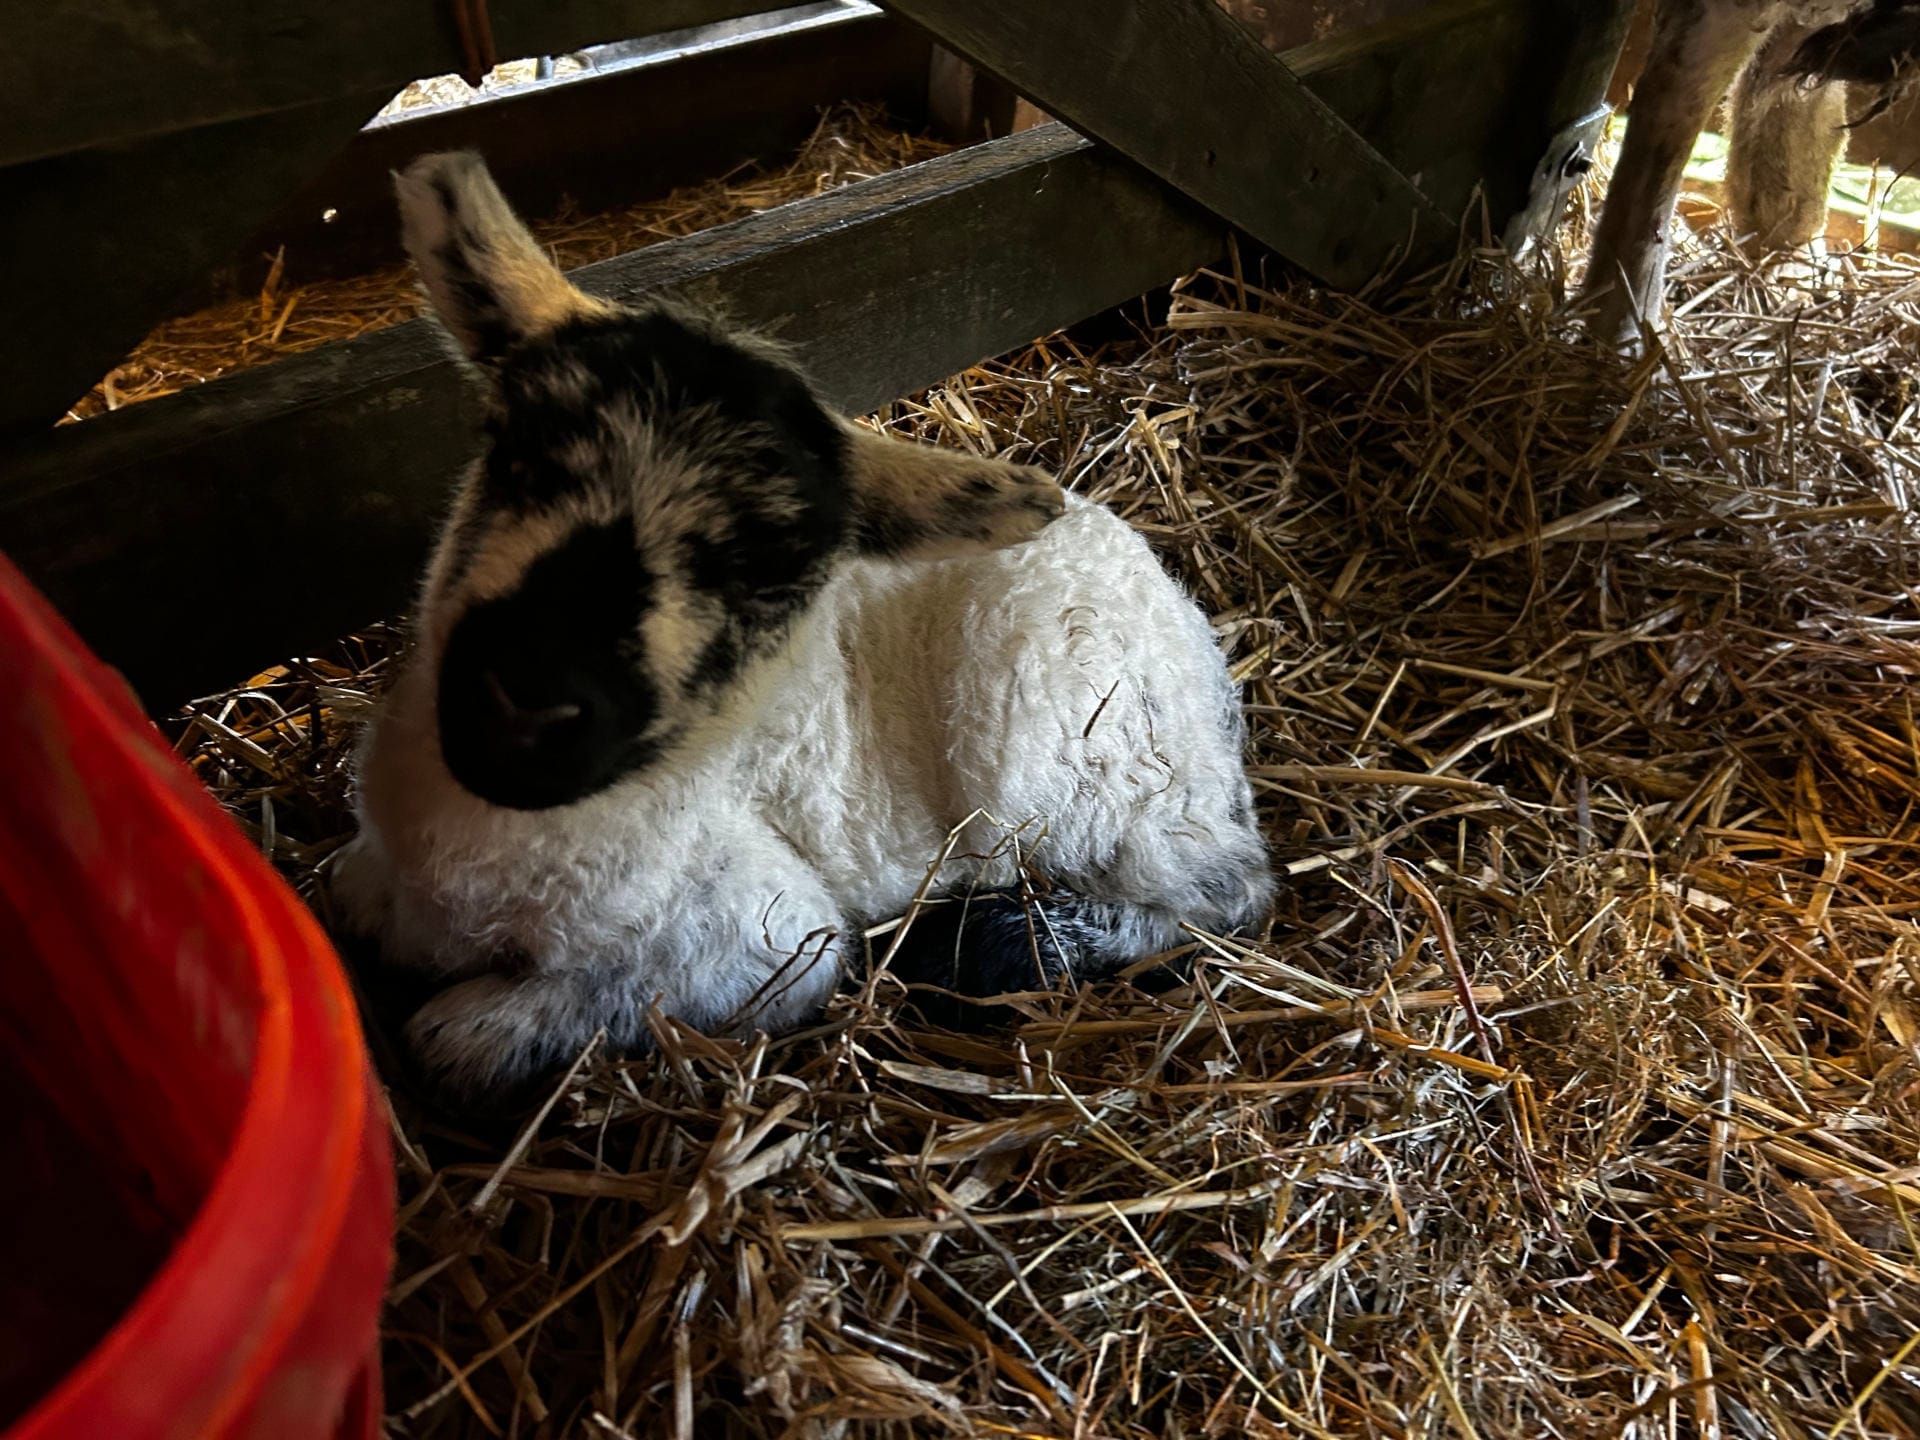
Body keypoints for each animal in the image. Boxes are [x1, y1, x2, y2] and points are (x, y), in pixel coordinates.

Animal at [330, 155, 1274, 1105]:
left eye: (773, 571)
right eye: (515, 454)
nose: (527, 699)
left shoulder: (769, 939)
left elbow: (470, 1037)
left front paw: (465, 1029)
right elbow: (347, 899)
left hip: (1069, 743)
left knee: (1221, 891)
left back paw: (989, 945)